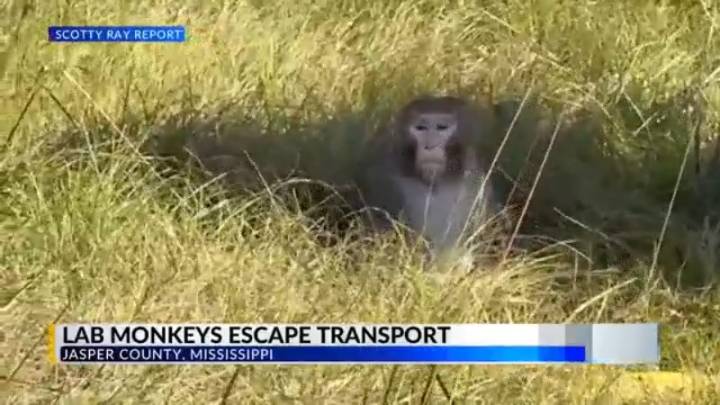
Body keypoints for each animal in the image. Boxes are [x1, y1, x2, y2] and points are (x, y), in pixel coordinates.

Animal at [356, 95, 507, 256]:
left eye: (441, 127)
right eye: (421, 128)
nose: (430, 145)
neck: (437, 182)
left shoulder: (478, 181)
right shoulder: (383, 178)